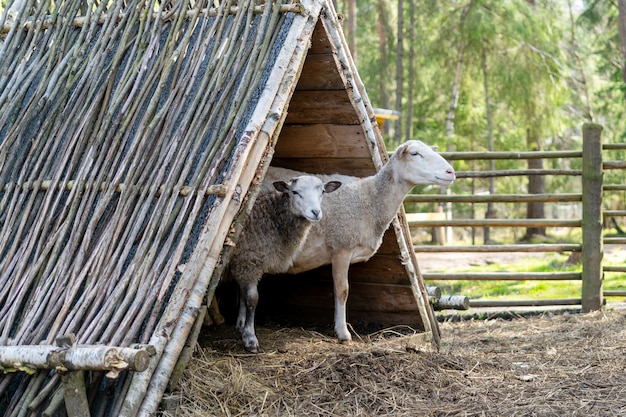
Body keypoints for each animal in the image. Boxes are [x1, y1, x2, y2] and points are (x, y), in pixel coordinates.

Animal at [260, 140, 456, 342]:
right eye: (415, 154)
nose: (450, 172)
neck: (370, 199)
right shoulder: (342, 247)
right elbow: (343, 290)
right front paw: (343, 332)